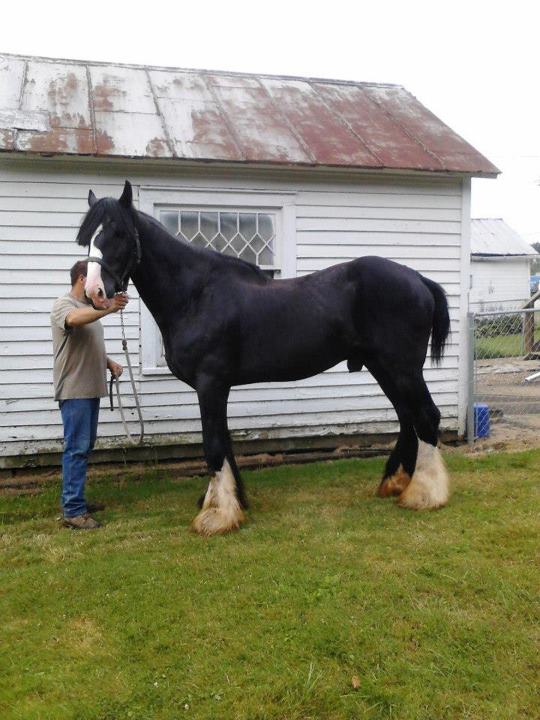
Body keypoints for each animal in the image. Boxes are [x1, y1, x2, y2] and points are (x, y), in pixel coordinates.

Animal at [78, 180, 451, 536]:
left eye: (119, 233)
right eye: (87, 238)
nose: (95, 292)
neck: (197, 295)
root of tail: (418, 279)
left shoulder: (210, 383)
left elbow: (214, 445)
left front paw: (217, 515)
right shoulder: (217, 387)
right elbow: (225, 441)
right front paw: (231, 501)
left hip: (402, 368)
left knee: (426, 416)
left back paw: (425, 494)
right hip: (382, 366)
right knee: (407, 417)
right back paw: (395, 482)